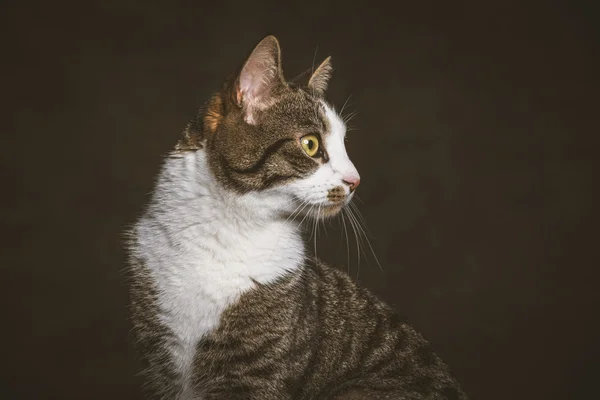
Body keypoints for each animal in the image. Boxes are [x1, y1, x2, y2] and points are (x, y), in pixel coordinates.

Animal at [127, 36, 468, 398]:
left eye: (344, 144)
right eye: (310, 144)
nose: (356, 180)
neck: (226, 234)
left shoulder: (254, 375)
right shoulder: (160, 362)